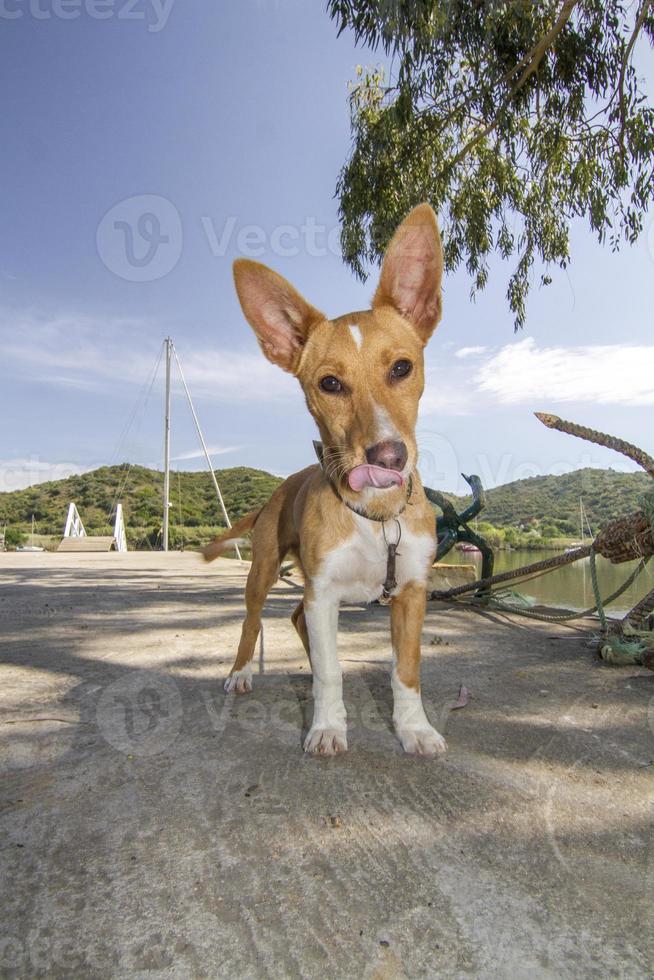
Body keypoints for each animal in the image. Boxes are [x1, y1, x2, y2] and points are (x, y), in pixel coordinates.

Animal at [205, 205, 448, 756]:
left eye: (402, 367)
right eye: (330, 383)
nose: (388, 456)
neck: (376, 518)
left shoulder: (411, 593)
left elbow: (406, 671)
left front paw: (414, 728)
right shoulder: (324, 594)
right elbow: (333, 674)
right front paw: (328, 727)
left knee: (297, 621)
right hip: (263, 572)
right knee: (253, 622)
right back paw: (242, 672)